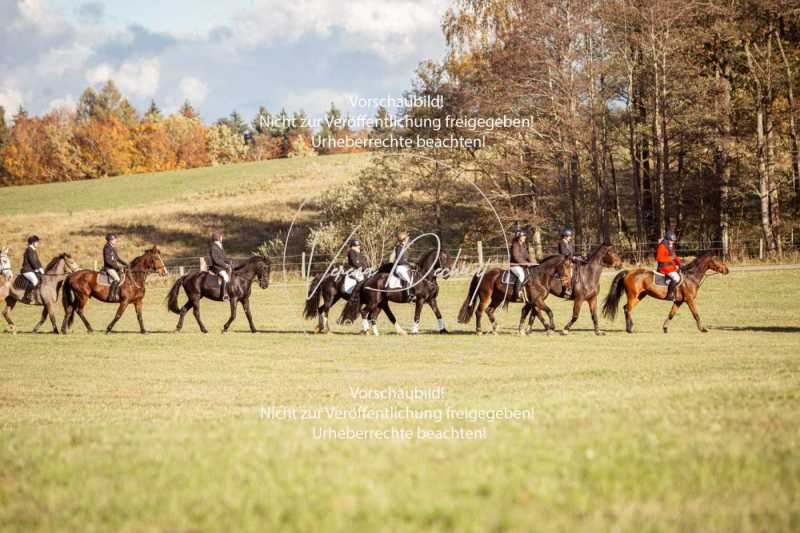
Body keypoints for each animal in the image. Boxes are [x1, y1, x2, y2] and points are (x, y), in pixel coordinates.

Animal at [600, 252, 732, 332]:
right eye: (718, 261)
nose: (727, 270)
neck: (691, 276)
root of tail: (629, 272)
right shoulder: (689, 300)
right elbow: (696, 314)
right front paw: (703, 329)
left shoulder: (679, 301)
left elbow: (671, 314)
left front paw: (665, 328)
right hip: (633, 296)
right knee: (628, 309)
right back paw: (629, 328)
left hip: (639, 296)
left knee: (626, 308)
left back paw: (630, 326)